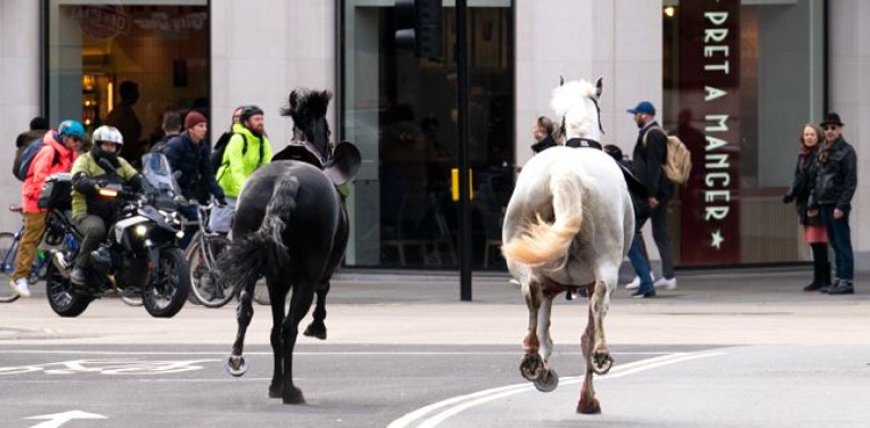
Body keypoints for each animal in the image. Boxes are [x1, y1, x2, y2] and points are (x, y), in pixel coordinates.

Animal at [225, 88, 362, 402]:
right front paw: (318, 326)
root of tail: (286, 181)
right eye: (328, 130)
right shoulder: (319, 270)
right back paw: (290, 390)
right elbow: (322, 293)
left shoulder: (276, 281)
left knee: (248, 312)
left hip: (253, 265)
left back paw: (243, 362)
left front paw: (273, 384)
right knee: (290, 328)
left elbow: (273, 330)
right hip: (306, 276)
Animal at [500, 77, 636, 414]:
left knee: (531, 297)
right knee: (599, 308)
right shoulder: (586, 283)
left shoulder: (549, 286)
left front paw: (544, 370)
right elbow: (584, 333)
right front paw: (587, 398)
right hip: (605, 266)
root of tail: (566, 173)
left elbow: (545, 329)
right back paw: (600, 354)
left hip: (524, 262)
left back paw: (531, 359)